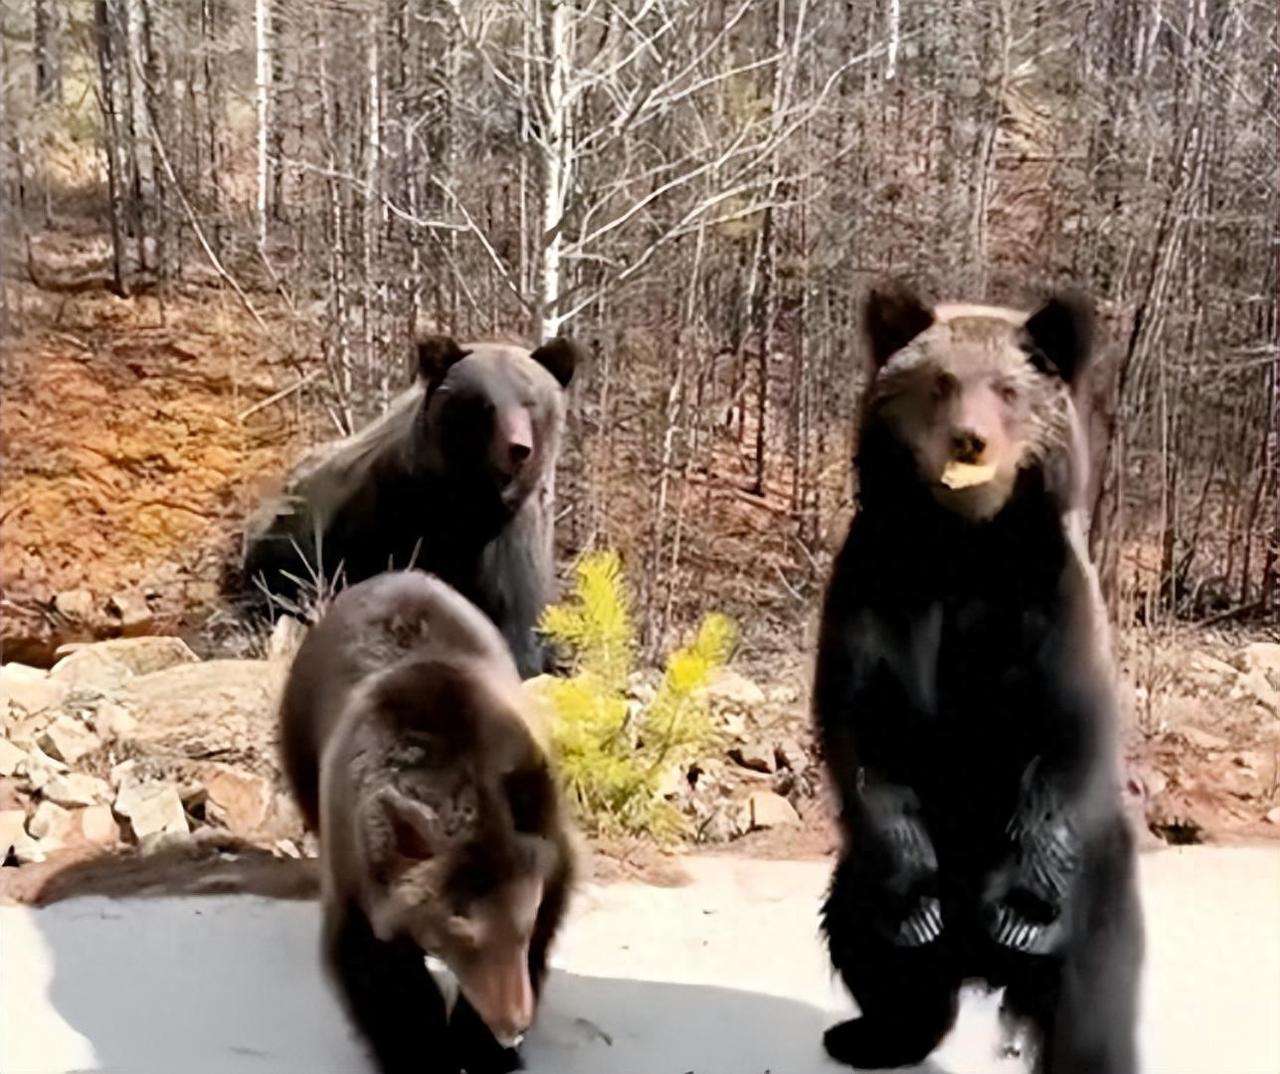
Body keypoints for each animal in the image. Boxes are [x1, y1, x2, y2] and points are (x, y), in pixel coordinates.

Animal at [239, 335, 580, 678]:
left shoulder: (511, 537)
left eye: (530, 402)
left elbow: (519, 615)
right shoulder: (390, 521)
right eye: (486, 405)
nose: (518, 448)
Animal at [278, 569, 577, 1074]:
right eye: (459, 933)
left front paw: (483, 1049)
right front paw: (424, 1051)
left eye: (523, 924)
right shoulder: (357, 856)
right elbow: (375, 966)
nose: (513, 1024)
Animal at [813, 280, 1142, 1074]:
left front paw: (1021, 914)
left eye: (1008, 389)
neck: (965, 544)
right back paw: (875, 1028)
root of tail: (976, 963)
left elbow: (1067, 727)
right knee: (869, 939)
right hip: (864, 875)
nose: (970, 440)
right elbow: (863, 719)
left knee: (1090, 996)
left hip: (1099, 888)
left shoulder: (1046, 599)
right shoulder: (878, 584)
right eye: (939, 383)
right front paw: (914, 908)